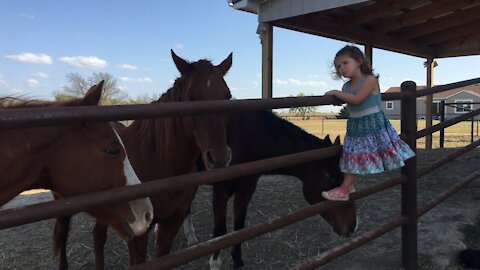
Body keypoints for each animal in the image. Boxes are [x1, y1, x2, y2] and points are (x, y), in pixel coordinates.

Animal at [52, 50, 232, 268]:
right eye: (191, 97)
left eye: (227, 96)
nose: (219, 157)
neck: (159, 163)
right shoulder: (139, 232)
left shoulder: (172, 222)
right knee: (63, 236)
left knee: (98, 237)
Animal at [190, 110, 356, 268]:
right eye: (330, 177)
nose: (352, 226)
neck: (246, 138)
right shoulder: (220, 191)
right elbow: (219, 232)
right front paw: (215, 263)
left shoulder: (246, 189)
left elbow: (239, 227)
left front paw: (237, 260)